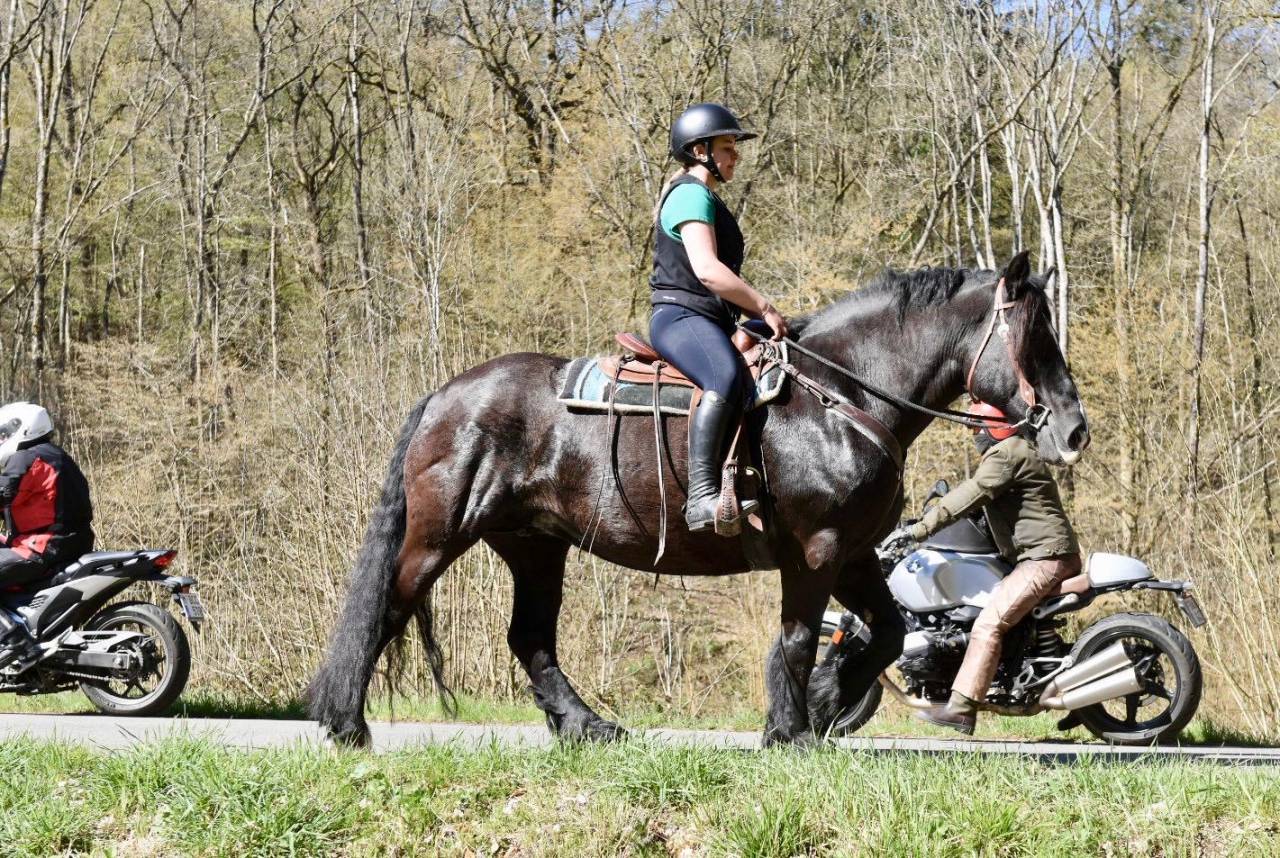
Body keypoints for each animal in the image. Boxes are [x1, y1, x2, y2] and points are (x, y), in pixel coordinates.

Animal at [307, 250, 1090, 747]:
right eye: (1034, 334)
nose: (1074, 429)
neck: (844, 397)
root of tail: (446, 395)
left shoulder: (855, 553)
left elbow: (886, 633)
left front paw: (825, 704)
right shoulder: (816, 552)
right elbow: (800, 638)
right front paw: (793, 729)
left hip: (535, 546)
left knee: (530, 639)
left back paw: (588, 726)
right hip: (440, 536)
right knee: (388, 608)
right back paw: (346, 726)